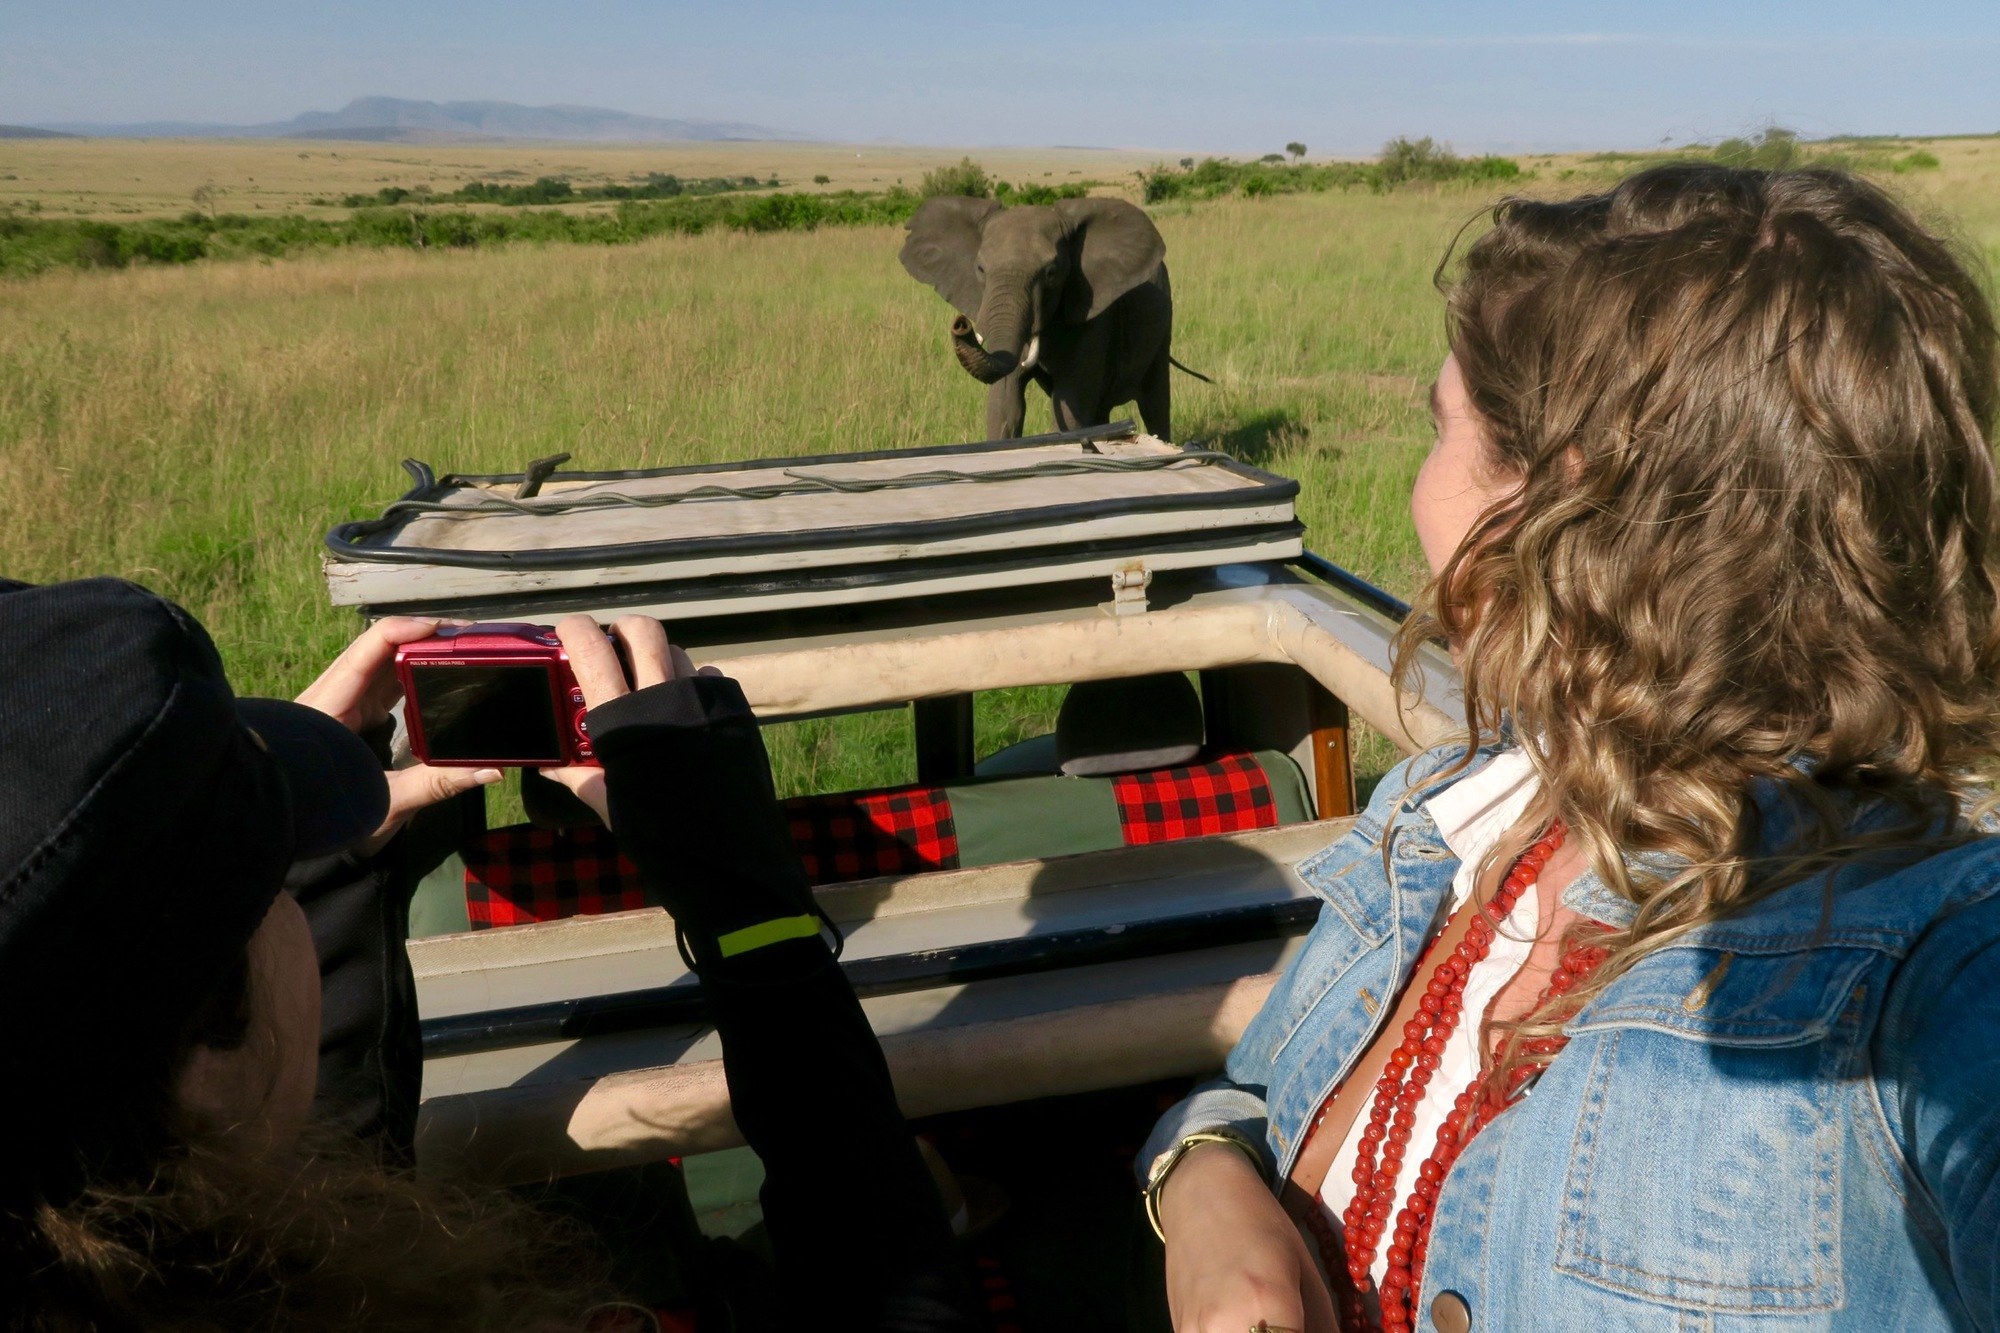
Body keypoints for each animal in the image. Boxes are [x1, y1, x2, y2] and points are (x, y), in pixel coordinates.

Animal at [900, 197, 1192, 438]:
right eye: (981, 269)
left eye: (1051, 273)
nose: (961, 324)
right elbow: (1005, 406)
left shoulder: (1092, 312)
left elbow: (1070, 405)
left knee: (1155, 404)